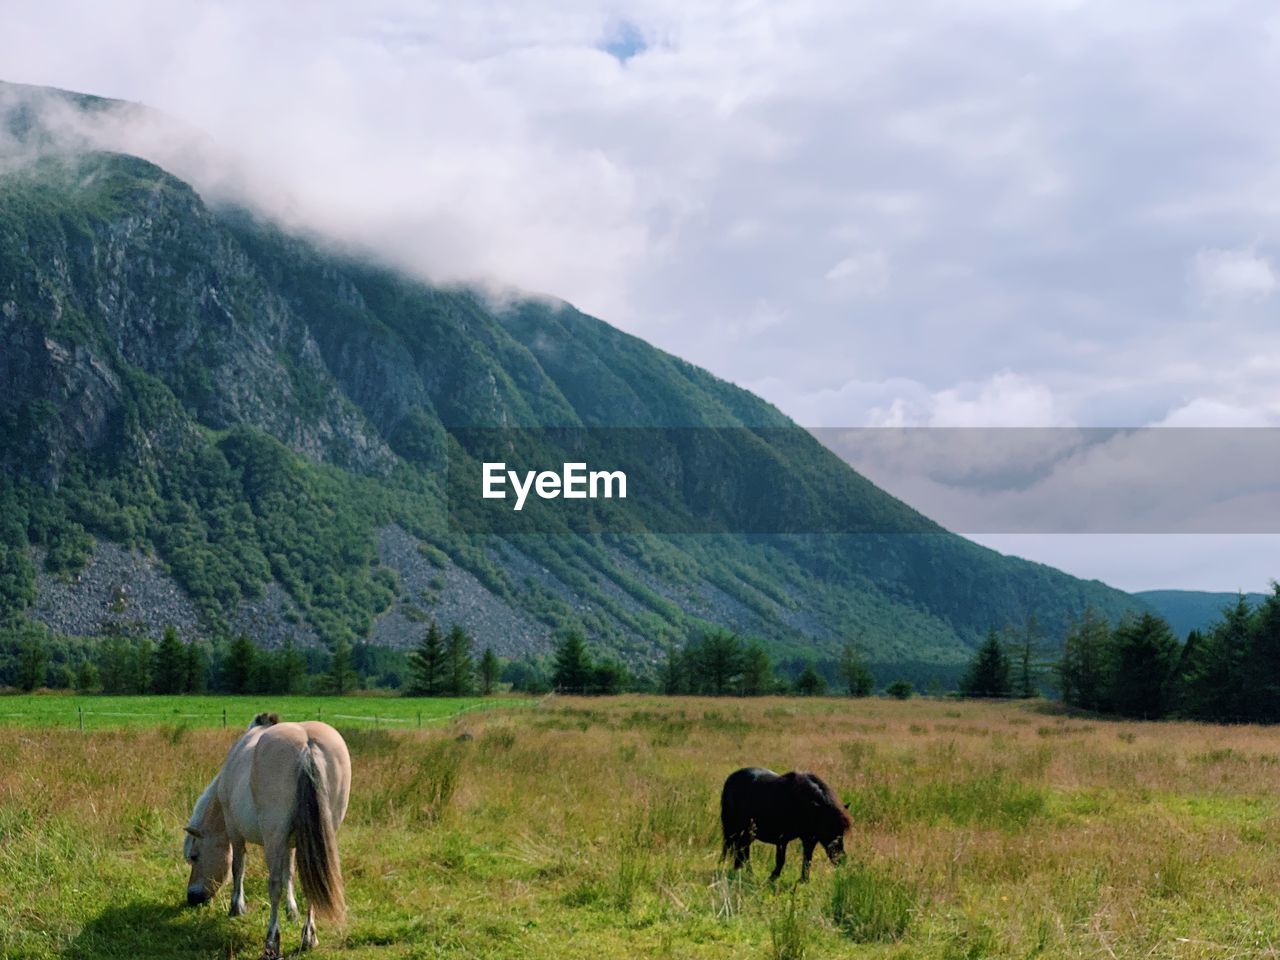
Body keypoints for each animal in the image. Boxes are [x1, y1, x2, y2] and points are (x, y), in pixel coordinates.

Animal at [184, 716, 350, 960]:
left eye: (195, 857)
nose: (192, 898)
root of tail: (307, 744)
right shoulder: (292, 843)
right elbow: (289, 873)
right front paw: (292, 911)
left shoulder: (235, 831)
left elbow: (238, 867)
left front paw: (236, 907)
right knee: (312, 880)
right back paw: (308, 937)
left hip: (273, 837)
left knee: (273, 886)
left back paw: (272, 942)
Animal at [721, 773, 849, 885]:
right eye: (828, 828)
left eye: (842, 831)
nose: (841, 859)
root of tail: (732, 777)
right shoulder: (782, 839)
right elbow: (781, 860)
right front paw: (772, 878)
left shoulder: (809, 839)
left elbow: (807, 860)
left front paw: (803, 881)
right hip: (734, 827)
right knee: (734, 848)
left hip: (747, 832)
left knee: (742, 849)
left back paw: (744, 871)